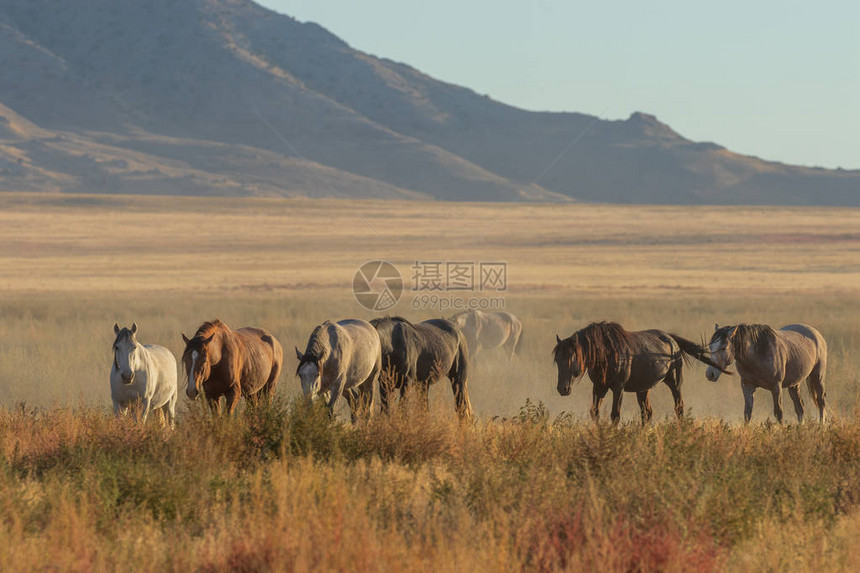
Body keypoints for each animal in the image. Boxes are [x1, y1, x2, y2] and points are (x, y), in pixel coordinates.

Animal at [556, 320, 728, 422]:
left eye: (571, 359)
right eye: (557, 360)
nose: (562, 389)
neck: (606, 353)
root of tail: (672, 339)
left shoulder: (618, 388)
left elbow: (615, 415)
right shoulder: (599, 387)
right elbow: (595, 412)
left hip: (675, 383)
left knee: (679, 408)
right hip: (643, 388)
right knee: (647, 413)